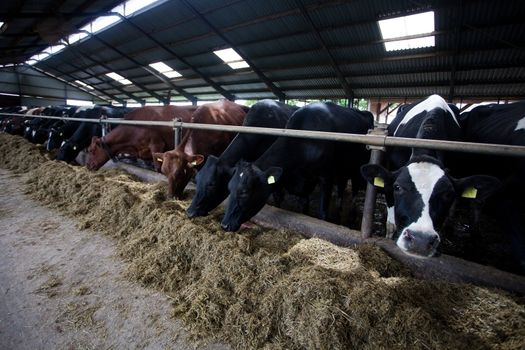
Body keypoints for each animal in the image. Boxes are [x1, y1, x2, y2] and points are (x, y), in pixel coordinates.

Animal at [220, 101, 372, 232]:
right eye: (229, 188)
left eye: (244, 192)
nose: (225, 225)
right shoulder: (302, 181)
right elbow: (302, 206)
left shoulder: (326, 176)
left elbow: (322, 213)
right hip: (342, 170)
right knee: (341, 188)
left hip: (357, 169)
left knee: (355, 191)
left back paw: (352, 218)